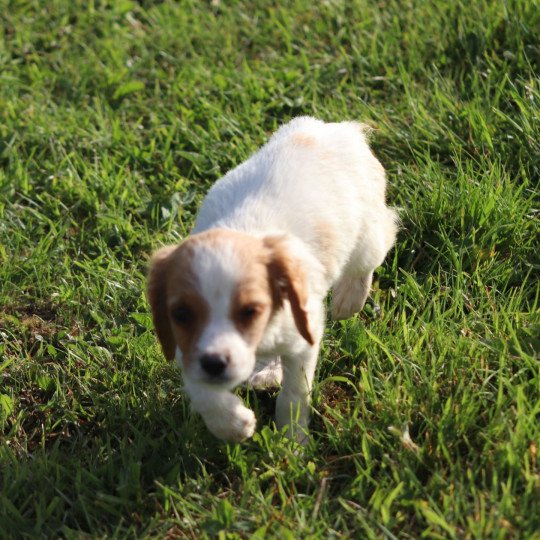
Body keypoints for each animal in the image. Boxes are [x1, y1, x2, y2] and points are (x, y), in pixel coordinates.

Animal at [147, 118, 396, 442]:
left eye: (250, 311)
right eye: (181, 315)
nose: (215, 364)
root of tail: (338, 127)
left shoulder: (305, 336)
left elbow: (294, 393)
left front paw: (292, 441)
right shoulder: (186, 348)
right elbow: (203, 393)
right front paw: (232, 425)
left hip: (366, 234)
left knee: (377, 246)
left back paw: (349, 299)